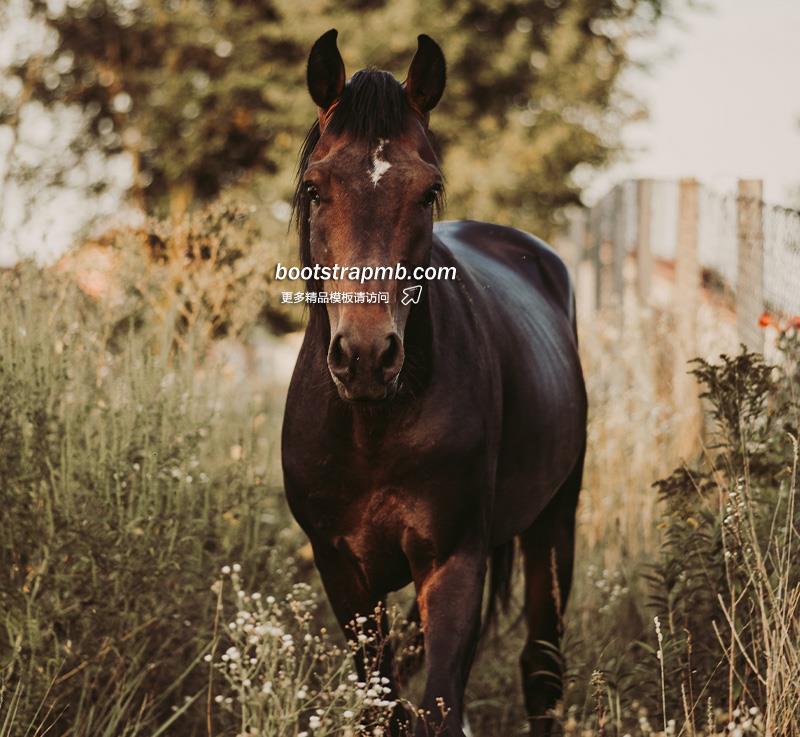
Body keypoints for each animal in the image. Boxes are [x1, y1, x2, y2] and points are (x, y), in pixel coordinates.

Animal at [281, 29, 587, 737]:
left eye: (428, 192)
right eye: (314, 189)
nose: (367, 356)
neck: (372, 427)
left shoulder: (453, 563)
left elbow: (440, 705)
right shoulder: (343, 571)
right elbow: (384, 707)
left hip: (555, 522)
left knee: (542, 668)